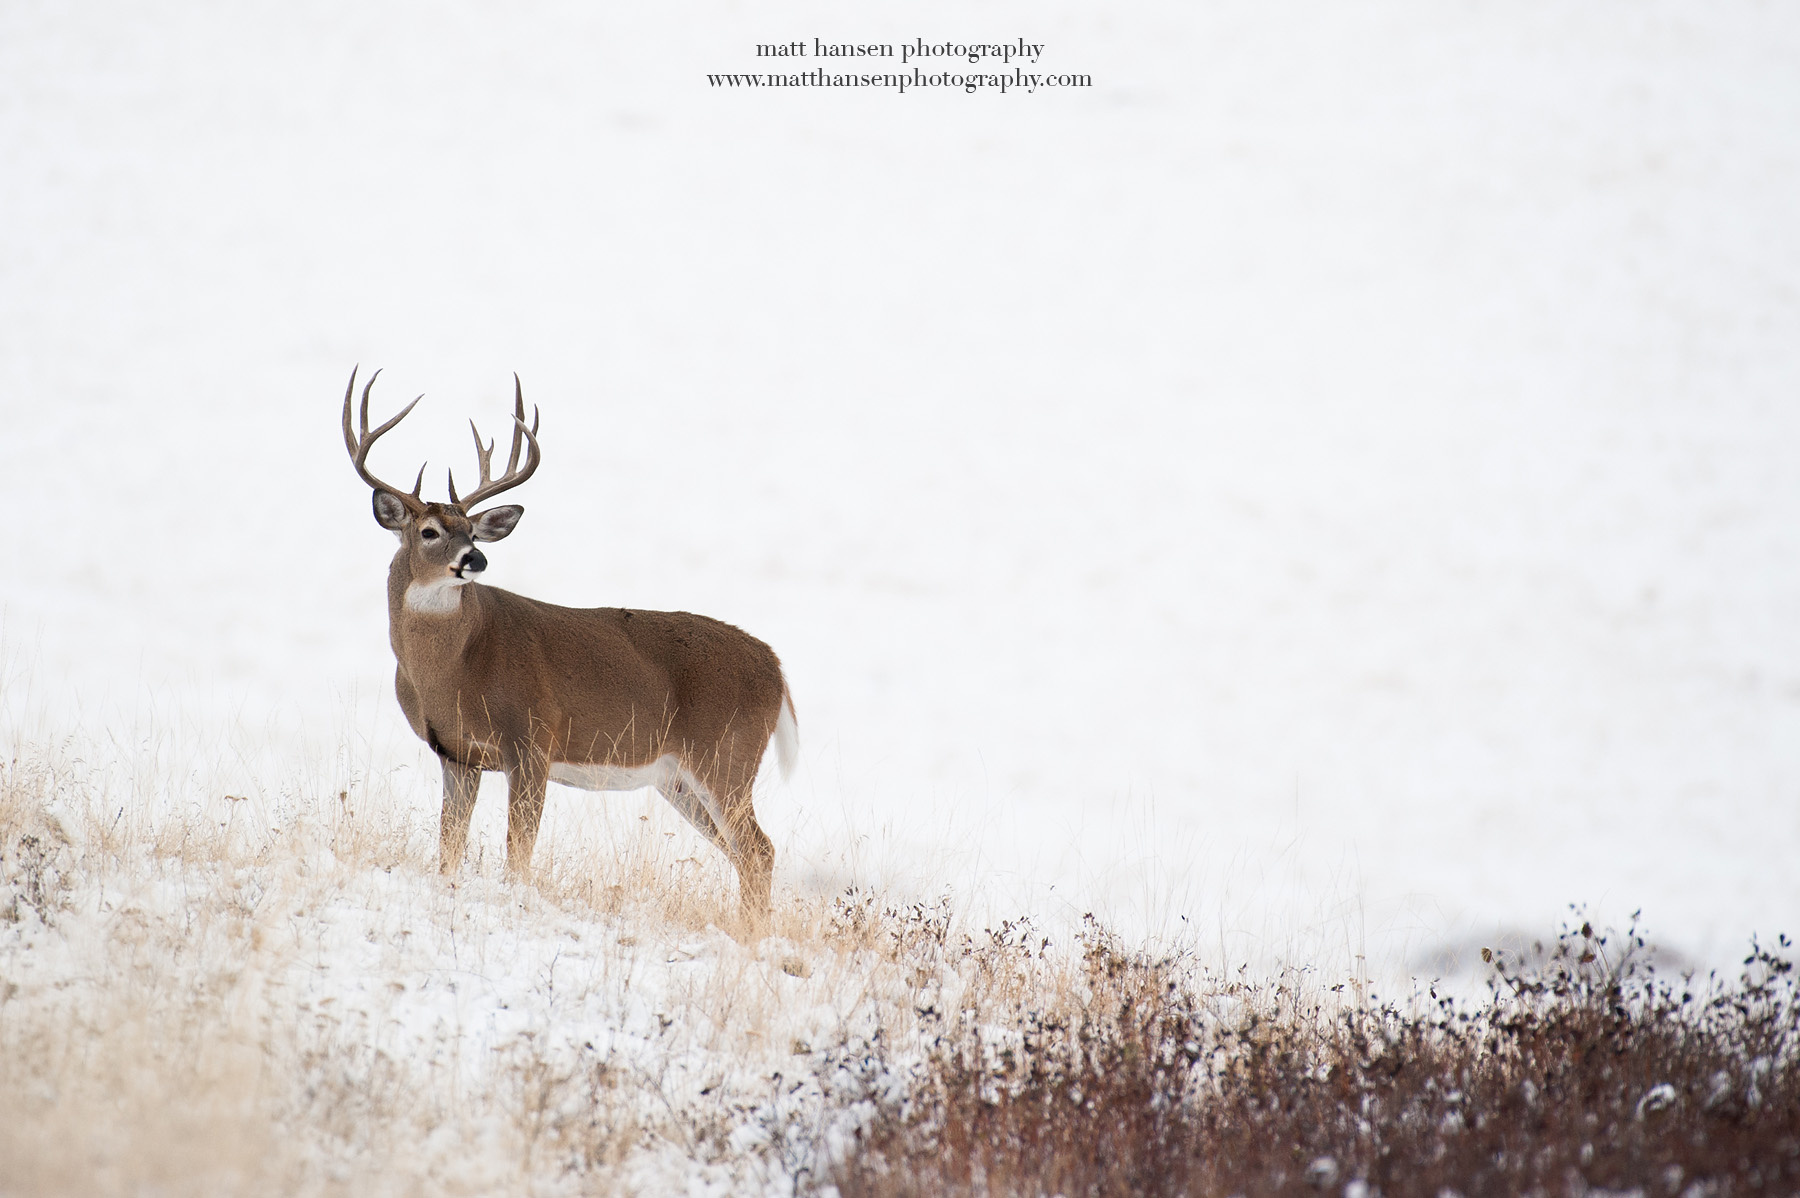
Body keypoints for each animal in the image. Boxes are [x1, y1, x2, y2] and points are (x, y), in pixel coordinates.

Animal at [342, 367, 797, 922]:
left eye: (471, 529)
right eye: (429, 531)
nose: (476, 559)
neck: (452, 669)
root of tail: (775, 665)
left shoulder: (533, 738)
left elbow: (518, 853)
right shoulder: (455, 752)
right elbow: (449, 848)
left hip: (726, 756)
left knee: (759, 848)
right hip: (680, 779)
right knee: (749, 853)